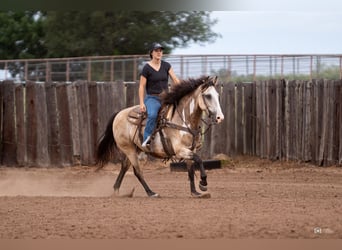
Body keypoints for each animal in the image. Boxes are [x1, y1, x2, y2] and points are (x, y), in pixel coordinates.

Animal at [95, 75, 224, 198]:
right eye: (208, 96)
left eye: (217, 95)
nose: (220, 117)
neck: (183, 121)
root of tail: (118, 114)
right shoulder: (180, 150)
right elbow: (199, 159)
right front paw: (203, 183)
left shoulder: (190, 149)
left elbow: (191, 170)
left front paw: (195, 192)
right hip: (129, 149)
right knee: (137, 171)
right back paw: (151, 193)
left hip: (135, 149)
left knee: (124, 166)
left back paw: (116, 190)